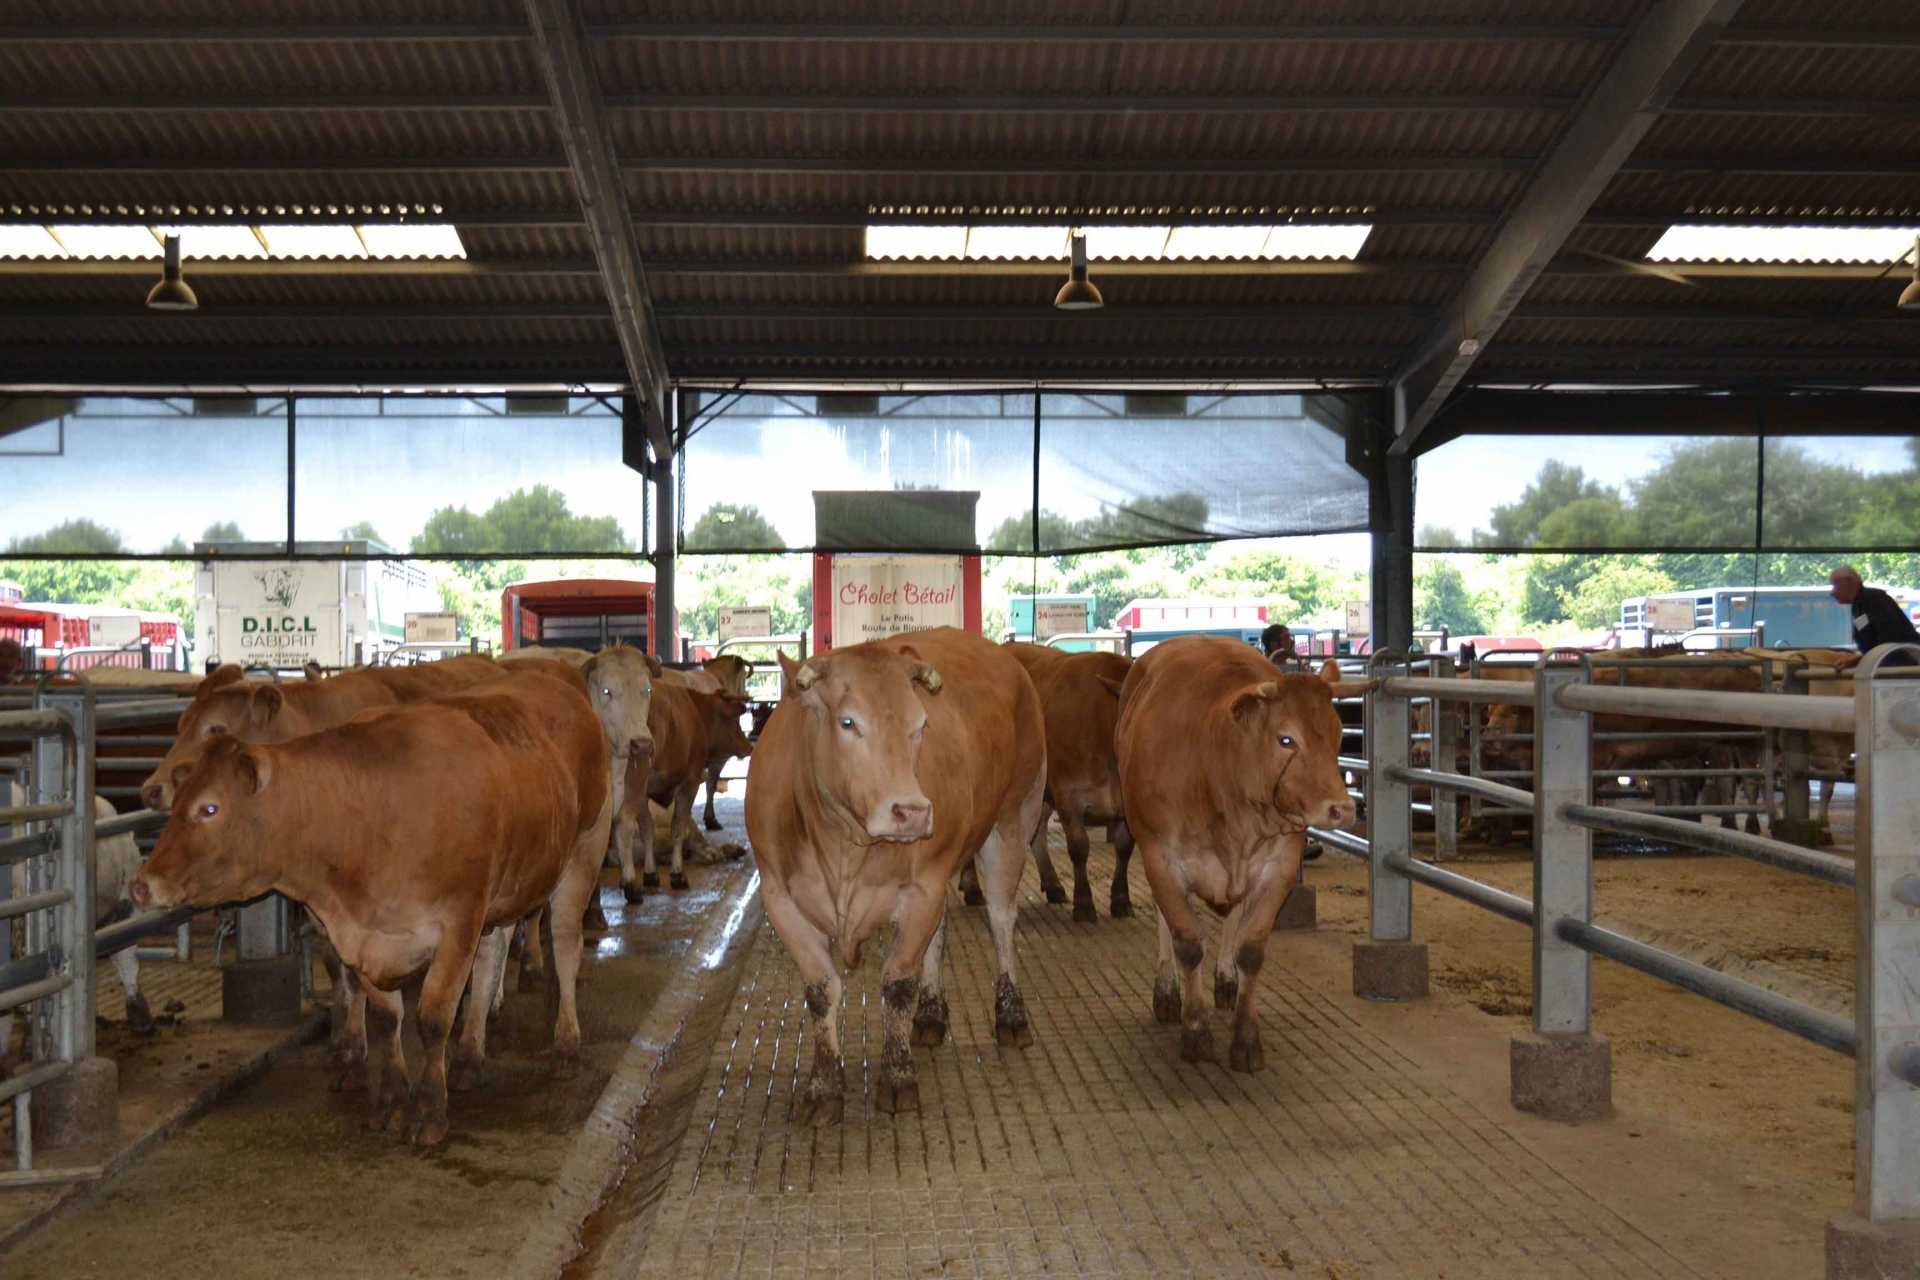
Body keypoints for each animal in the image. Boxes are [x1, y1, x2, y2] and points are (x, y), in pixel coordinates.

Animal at [131, 671, 610, 1151]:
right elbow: (384, 1018)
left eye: (209, 808)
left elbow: (432, 1018)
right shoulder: (363, 935)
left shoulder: (459, 919)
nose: (141, 884)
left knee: (565, 945)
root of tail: (551, 681)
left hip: (583, 852)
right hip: (507, 886)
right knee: (494, 956)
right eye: (179, 804)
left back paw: (565, 1044)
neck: (366, 816)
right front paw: (392, 1100)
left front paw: (429, 1111)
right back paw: (470, 1056)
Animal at [748, 629, 1052, 1120]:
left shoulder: (921, 886)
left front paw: (897, 1076)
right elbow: (821, 989)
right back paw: (930, 1015)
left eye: (921, 725)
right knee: (941, 931)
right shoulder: (780, 899)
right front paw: (823, 1085)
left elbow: (897, 983)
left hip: (1014, 817)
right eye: (848, 722)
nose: (912, 812)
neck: (842, 845)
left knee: (1002, 921)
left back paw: (1011, 1015)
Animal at [998, 644, 1128, 924]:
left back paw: (1054, 885)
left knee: (1036, 832)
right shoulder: (1068, 794)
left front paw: (1121, 900)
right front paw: (1084, 904)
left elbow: (1124, 847)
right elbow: (1079, 847)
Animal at [1113, 637, 1351, 1074]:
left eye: (1339, 733)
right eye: (1286, 739)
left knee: (1234, 915)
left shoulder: (1278, 867)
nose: (1342, 808)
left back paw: (1225, 980)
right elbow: (1187, 943)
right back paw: (1166, 990)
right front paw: (1195, 1031)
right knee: (1165, 923)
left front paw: (1246, 1038)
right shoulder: (1161, 859)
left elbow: (1251, 951)